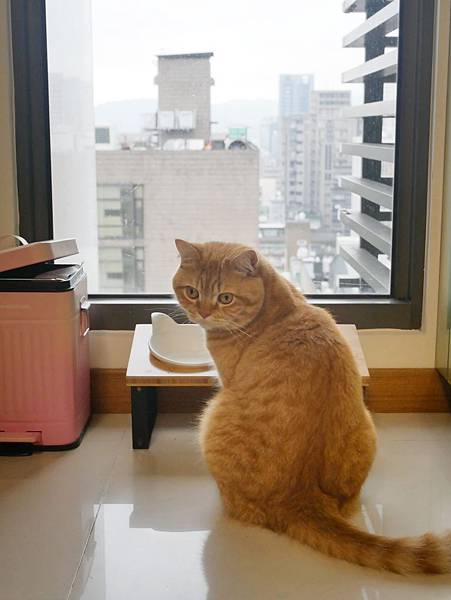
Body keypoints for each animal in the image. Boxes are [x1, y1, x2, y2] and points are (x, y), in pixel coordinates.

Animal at [172, 238, 451, 574]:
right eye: (192, 292)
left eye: (225, 298)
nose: (202, 312)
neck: (276, 306)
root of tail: (302, 496)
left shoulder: (226, 380)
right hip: (368, 429)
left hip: (210, 416)